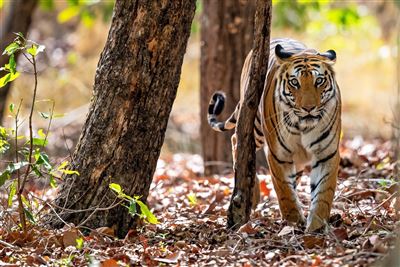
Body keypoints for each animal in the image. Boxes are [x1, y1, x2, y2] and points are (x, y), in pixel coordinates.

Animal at [208, 38, 342, 232]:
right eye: (294, 82)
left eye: (319, 81)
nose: (308, 108)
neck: (303, 127)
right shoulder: (278, 155)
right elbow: (284, 191)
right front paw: (294, 222)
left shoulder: (327, 153)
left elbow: (323, 193)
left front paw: (316, 227)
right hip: (255, 125)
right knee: (236, 141)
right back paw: (253, 196)